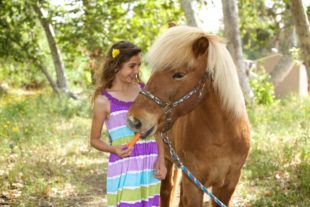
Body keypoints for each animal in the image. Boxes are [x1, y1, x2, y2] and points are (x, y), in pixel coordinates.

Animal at [126, 25, 249, 207]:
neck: (221, 136)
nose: (134, 120)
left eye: (179, 74)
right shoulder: (194, 184)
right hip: (167, 161)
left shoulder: (228, 185)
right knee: (167, 190)